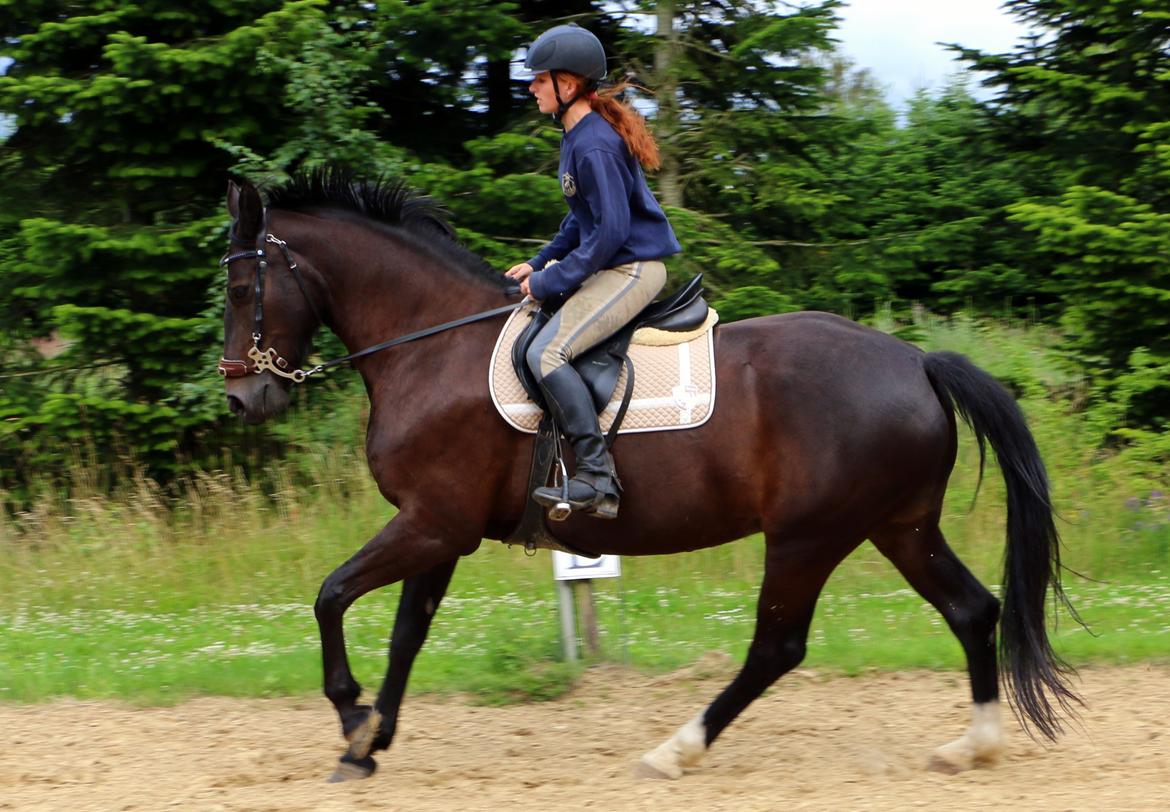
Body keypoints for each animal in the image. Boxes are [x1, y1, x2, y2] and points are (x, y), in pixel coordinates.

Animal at [219, 169, 1076, 781]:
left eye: (241, 288)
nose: (242, 397)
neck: (430, 345)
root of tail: (917, 361)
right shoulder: (442, 530)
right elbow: (406, 633)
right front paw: (368, 741)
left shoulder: (431, 522)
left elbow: (332, 596)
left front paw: (349, 716)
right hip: (898, 526)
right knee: (971, 609)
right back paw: (973, 745)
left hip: (809, 536)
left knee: (778, 646)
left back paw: (676, 750)